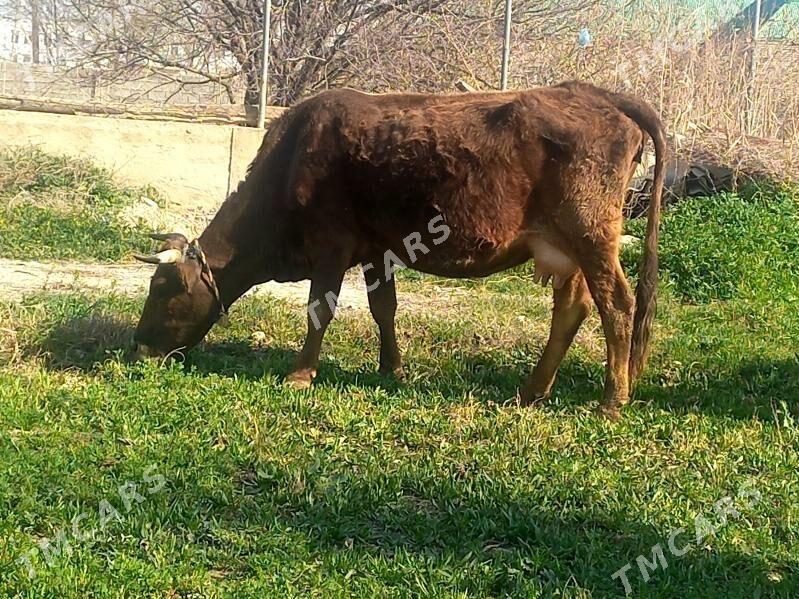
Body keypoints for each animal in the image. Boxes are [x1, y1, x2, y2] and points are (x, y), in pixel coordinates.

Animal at [134, 79, 664, 420]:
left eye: (161, 290)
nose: (138, 349)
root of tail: (598, 94)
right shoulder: (376, 247)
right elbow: (382, 307)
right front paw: (392, 368)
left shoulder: (331, 243)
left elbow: (319, 309)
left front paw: (301, 374)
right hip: (565, 246)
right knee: (571, 308)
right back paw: (533, 390)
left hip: (590, 233)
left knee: (617, 305)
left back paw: (611, 402)